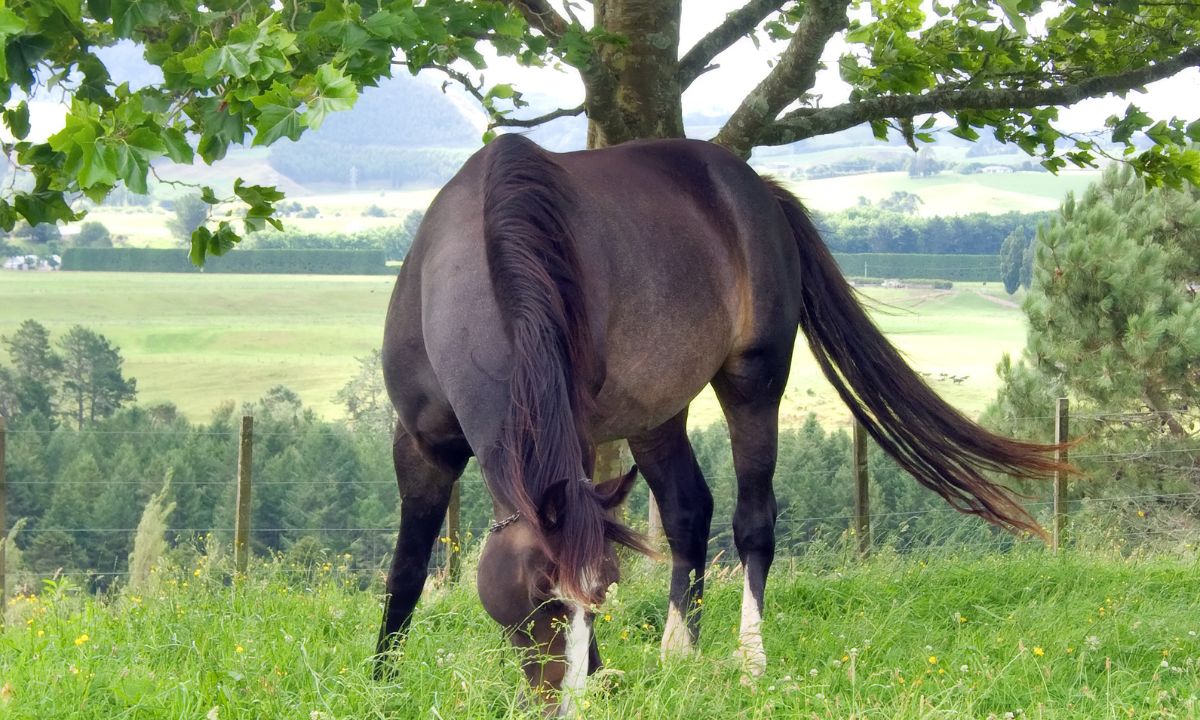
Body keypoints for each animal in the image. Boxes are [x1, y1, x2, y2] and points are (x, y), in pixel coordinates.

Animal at [372, 133, 1060, 715]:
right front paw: (382, 679)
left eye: (600, 597)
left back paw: (748, 660)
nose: (564, 704)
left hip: (754, 382)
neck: (477, 265)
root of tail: (756, 188)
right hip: (657, 414)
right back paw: (679, 653)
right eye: (541, 597)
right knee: (687, 510)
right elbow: (406, 570)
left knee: (753, 519)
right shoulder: (420, 447)